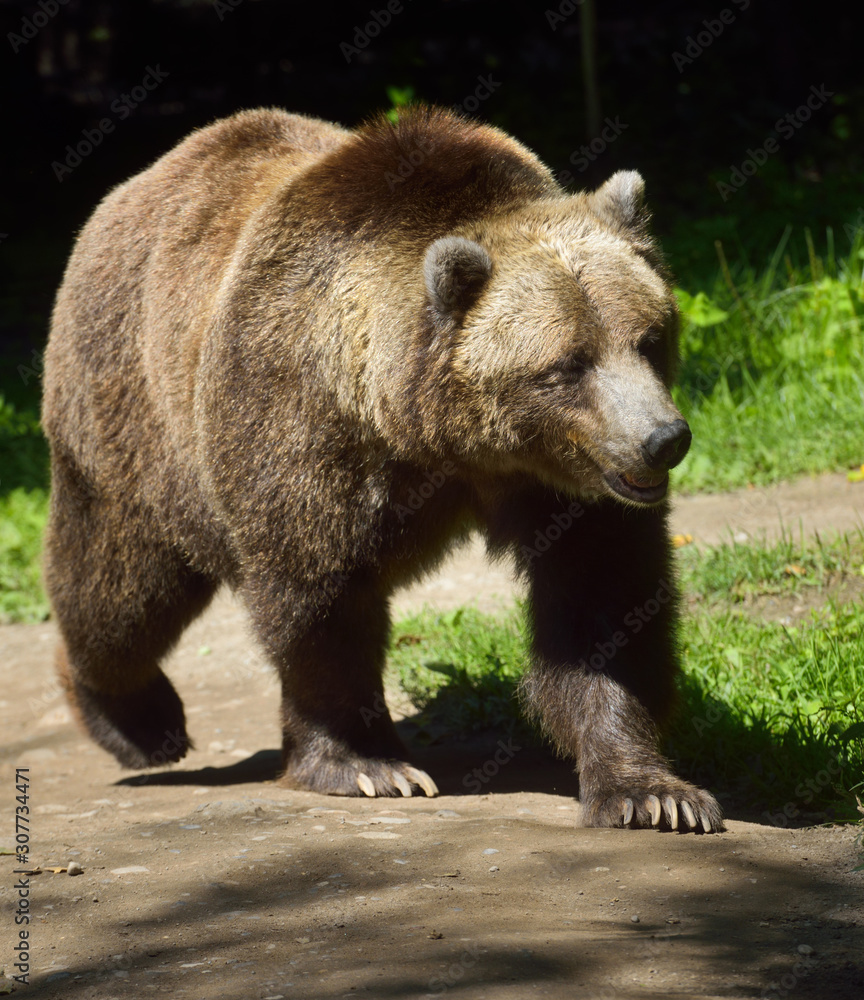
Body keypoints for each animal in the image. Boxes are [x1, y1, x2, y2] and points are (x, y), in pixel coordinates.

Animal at [42, 105, 723, 833]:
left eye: (650, 337)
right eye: (568, 364)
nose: (662, 439)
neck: (438, 437)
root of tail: (137, 185)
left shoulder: (560, 484)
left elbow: (601, 598)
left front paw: (652, 793)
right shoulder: (297, 420)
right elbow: (317, 599)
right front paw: (367, 764)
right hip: (136, 419)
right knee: (119, 591)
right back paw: (140, 722)